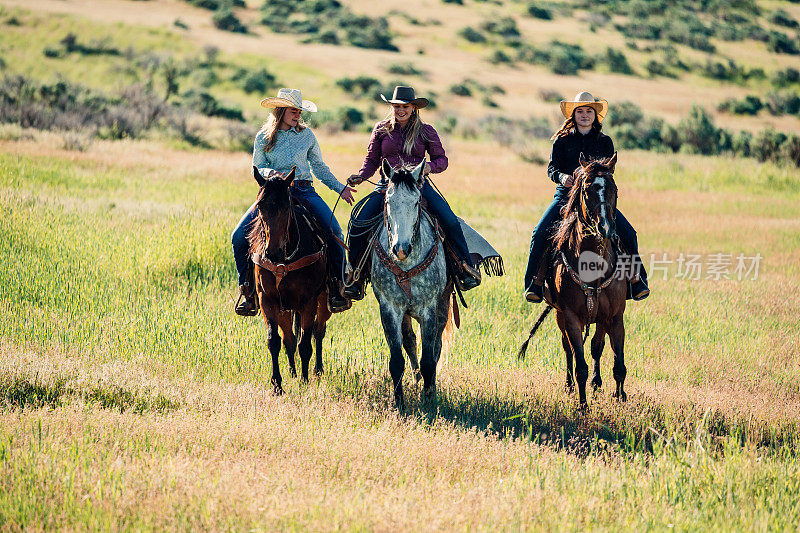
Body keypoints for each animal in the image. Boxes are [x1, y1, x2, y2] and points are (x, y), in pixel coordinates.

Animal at [247, 167, 328, 394]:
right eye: (261, 206)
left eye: (286, 206)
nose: (272, 252)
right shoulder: (267, 300)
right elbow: (275, 341)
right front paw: (277, 385)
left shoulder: (308, 302)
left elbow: (305, 344)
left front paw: (305, 381)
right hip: (284, 309)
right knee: (289, 339)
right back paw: (292, 371)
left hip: (323, 302)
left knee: (318, 332)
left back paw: (317, 370)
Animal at [372, 160, 454, 410]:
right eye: (388, 201)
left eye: (416, 201)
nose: (401, 248)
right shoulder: (389, 308)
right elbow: (397, 360)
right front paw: (399, 404)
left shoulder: (429, 309)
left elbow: (429, 358)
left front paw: (429, 401)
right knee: (409, 340)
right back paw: (416, 378)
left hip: (443, 304)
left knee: (436, 346)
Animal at [520, 153, 628, 404]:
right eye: (587, 190)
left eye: (614, 189)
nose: (605, 227)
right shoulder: (570, 317)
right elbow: (580, 365)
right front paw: (583, 404)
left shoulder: (615, 316)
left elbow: (618, 364)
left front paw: (620, 397)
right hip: (559, 314)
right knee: (568, 348)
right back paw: (569, 386)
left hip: (600, 317)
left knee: (597, 345)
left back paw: (597, 383)